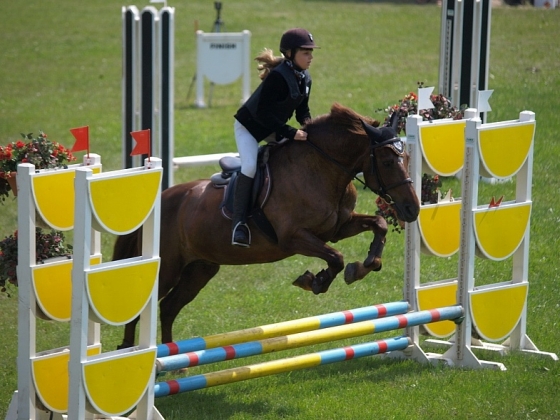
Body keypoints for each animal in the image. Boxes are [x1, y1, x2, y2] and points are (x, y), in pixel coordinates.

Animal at [114, 102, 420, 348]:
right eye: (387, 161)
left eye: (406, 157)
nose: (412, 209)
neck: (321, 170)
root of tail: (161, 199)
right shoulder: (294, 238)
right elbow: (336, 257)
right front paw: (314, 281)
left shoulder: (337, 228)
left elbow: (378, 225)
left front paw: (365, 265)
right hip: (168, 268)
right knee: (142, 307)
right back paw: (131, 351)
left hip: (199, 269)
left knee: (168, 307)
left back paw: (172, 362)